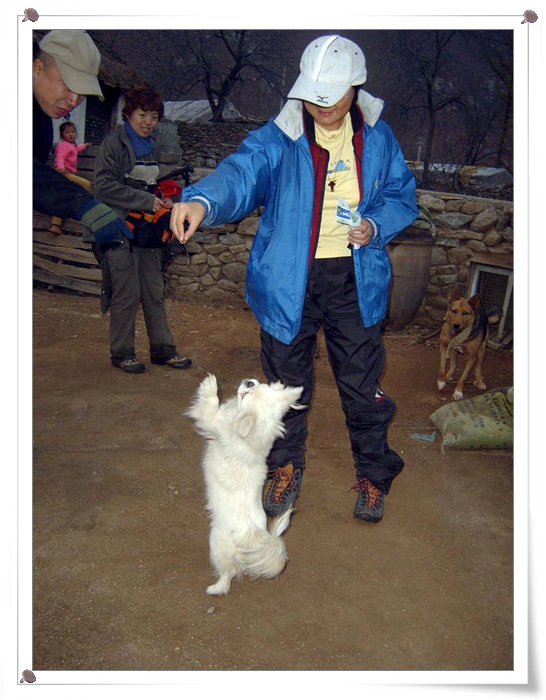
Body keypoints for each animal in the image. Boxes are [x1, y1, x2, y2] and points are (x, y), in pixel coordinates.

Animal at [186, 374, 304, 595]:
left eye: (245, 395)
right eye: (257, 385)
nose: (249, 382)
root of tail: (252, 537)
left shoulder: (213, 421)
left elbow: (209, 405)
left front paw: (210, 385)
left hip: (217, 544)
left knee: (227, 576)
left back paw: (214, 589)